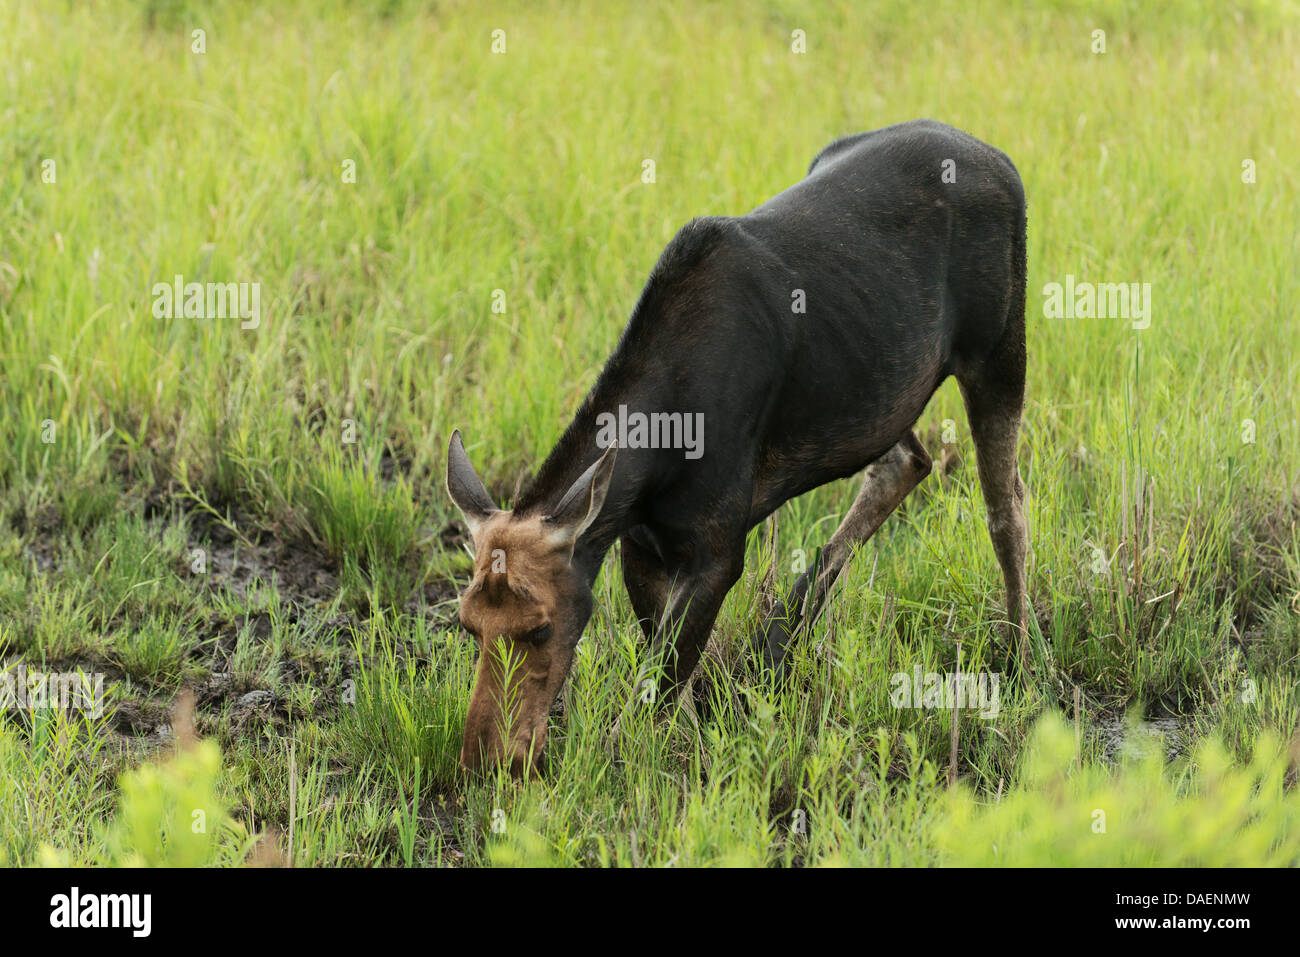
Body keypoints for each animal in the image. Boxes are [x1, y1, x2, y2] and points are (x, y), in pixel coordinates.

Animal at [447, 119, 1024, 780]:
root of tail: (1001, 158)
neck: (651, 464)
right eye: (467, 625)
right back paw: (780, 635)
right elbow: (666, 669)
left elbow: (652, 694)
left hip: (998, 350)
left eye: (541, 629)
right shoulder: (639, 544)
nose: (485, 761)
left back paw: (1019, 655)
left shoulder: (719, 551)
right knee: (912, 459)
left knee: (1005, 506)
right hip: (883, 388)